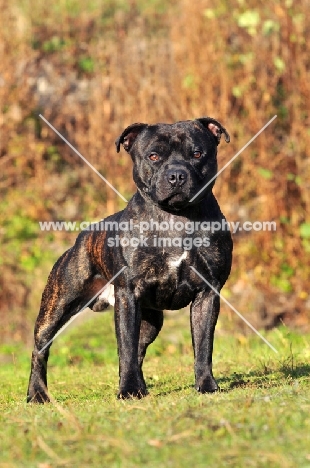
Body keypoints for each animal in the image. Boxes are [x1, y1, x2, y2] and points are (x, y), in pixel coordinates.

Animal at [27, 117, 232, 402]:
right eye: (153, 156)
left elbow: (203, 346)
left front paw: (206, 385)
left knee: (139, 349)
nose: (177, 175)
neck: (175, 217)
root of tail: (82, 237)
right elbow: (125, 347)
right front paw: (128, 390)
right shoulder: (128, 294)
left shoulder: (207, 293)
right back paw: (37, 394)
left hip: (151, 322)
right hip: (56, 306)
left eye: (197, 154)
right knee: (40, 349)